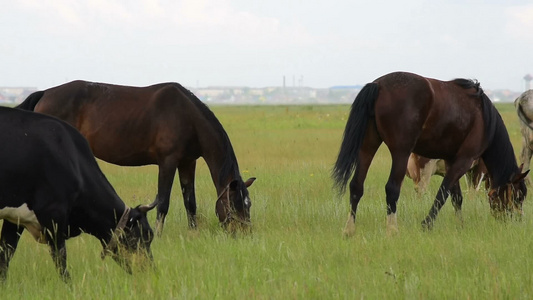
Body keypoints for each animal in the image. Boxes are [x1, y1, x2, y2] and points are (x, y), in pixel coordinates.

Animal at [0, 106, 157, 282]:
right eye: (146, 235)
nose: (152, 272)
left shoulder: (15, 217)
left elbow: (6, 255)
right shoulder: (53, 214)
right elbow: (61, 260)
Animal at [16, 80, 256, 234]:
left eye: (249, 204)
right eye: (236, 204)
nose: (243, 233)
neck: (187, 117)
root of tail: (44, 93)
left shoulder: (188, 163)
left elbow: (190, 201)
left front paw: (193, 233)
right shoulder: (167, 162)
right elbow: (163, 202)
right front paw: (159, 234)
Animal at [332, 71, 528, 236]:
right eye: (518, 196)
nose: (517, 220)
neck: (485, 120)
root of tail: (378, 85)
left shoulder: (451, 160)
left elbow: (456, 197)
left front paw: (460, 226)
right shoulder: (464, 160)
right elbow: (443, 193)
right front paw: (427, 224)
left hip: (368, 146)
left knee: (356, 185)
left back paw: (349, 230)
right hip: (401, 153)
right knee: (392, 188)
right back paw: (392, 230)